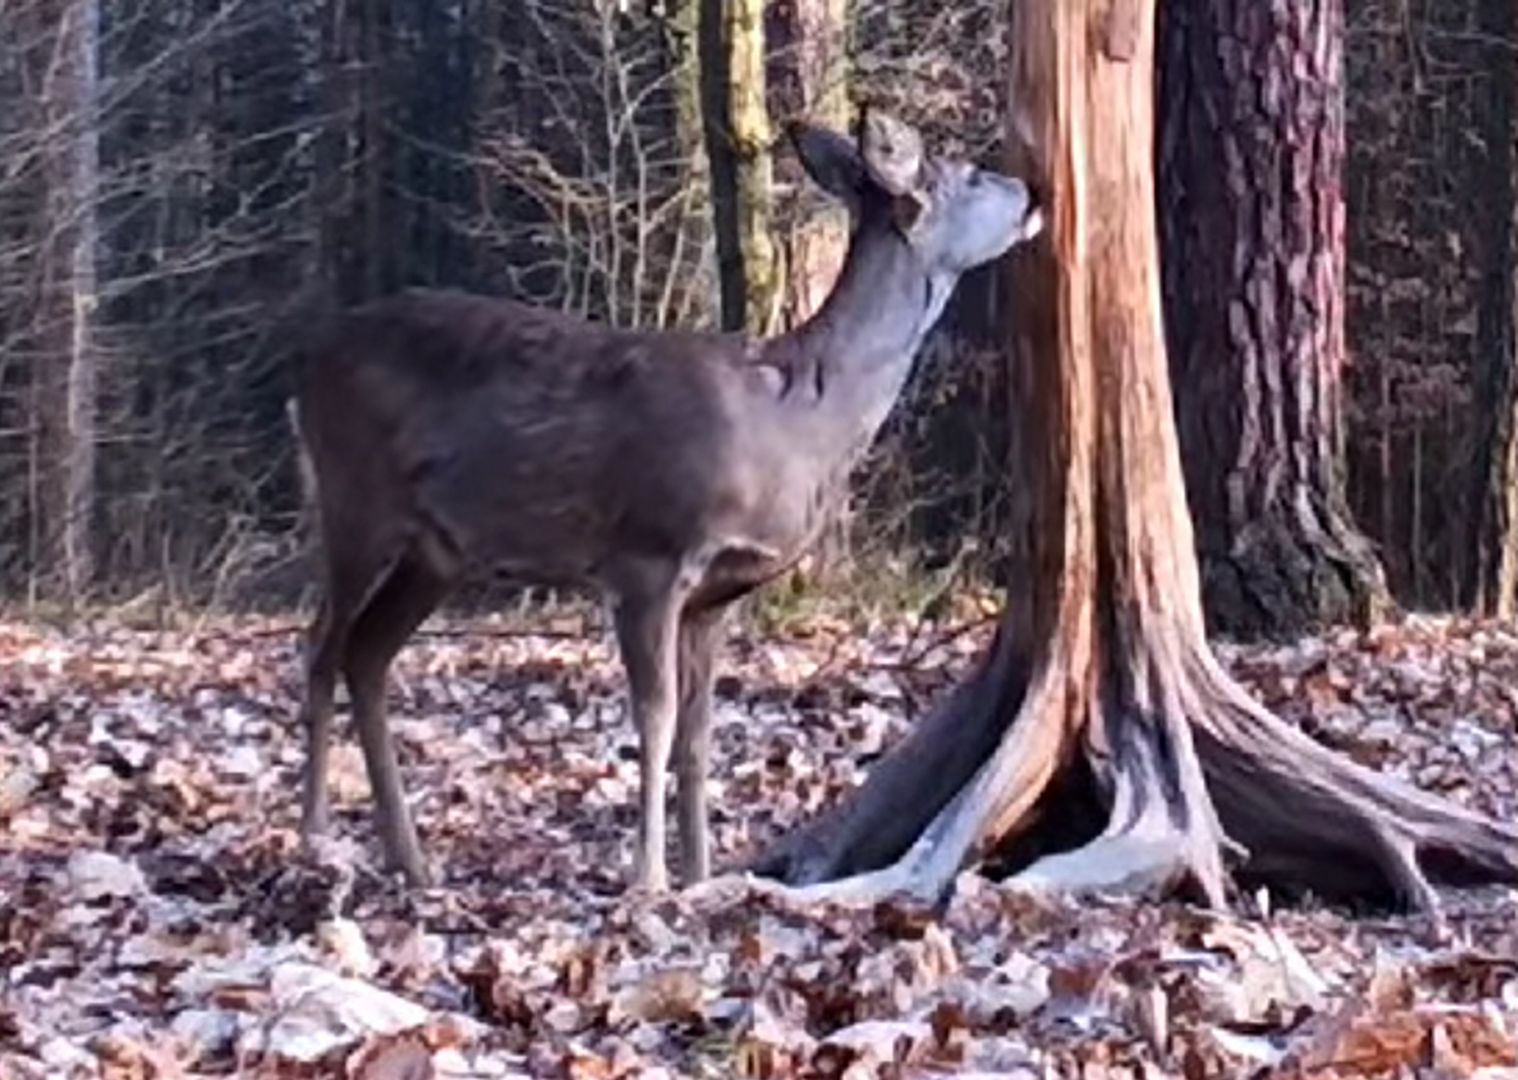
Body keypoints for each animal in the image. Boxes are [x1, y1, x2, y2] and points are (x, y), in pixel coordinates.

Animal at [289, 110, 1038, 893]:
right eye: (971, 175)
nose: (1033, 193)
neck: (796, 419)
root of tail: (308, 364)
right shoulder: (649, 554)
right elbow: (655, 719)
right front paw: (647, 878)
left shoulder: (716, 593)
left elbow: (700, 735)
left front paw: (700, 875)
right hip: (354, 499)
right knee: (321, 645)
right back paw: (316, 836)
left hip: (435, 552)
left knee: (367, 654)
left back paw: (411, 858)